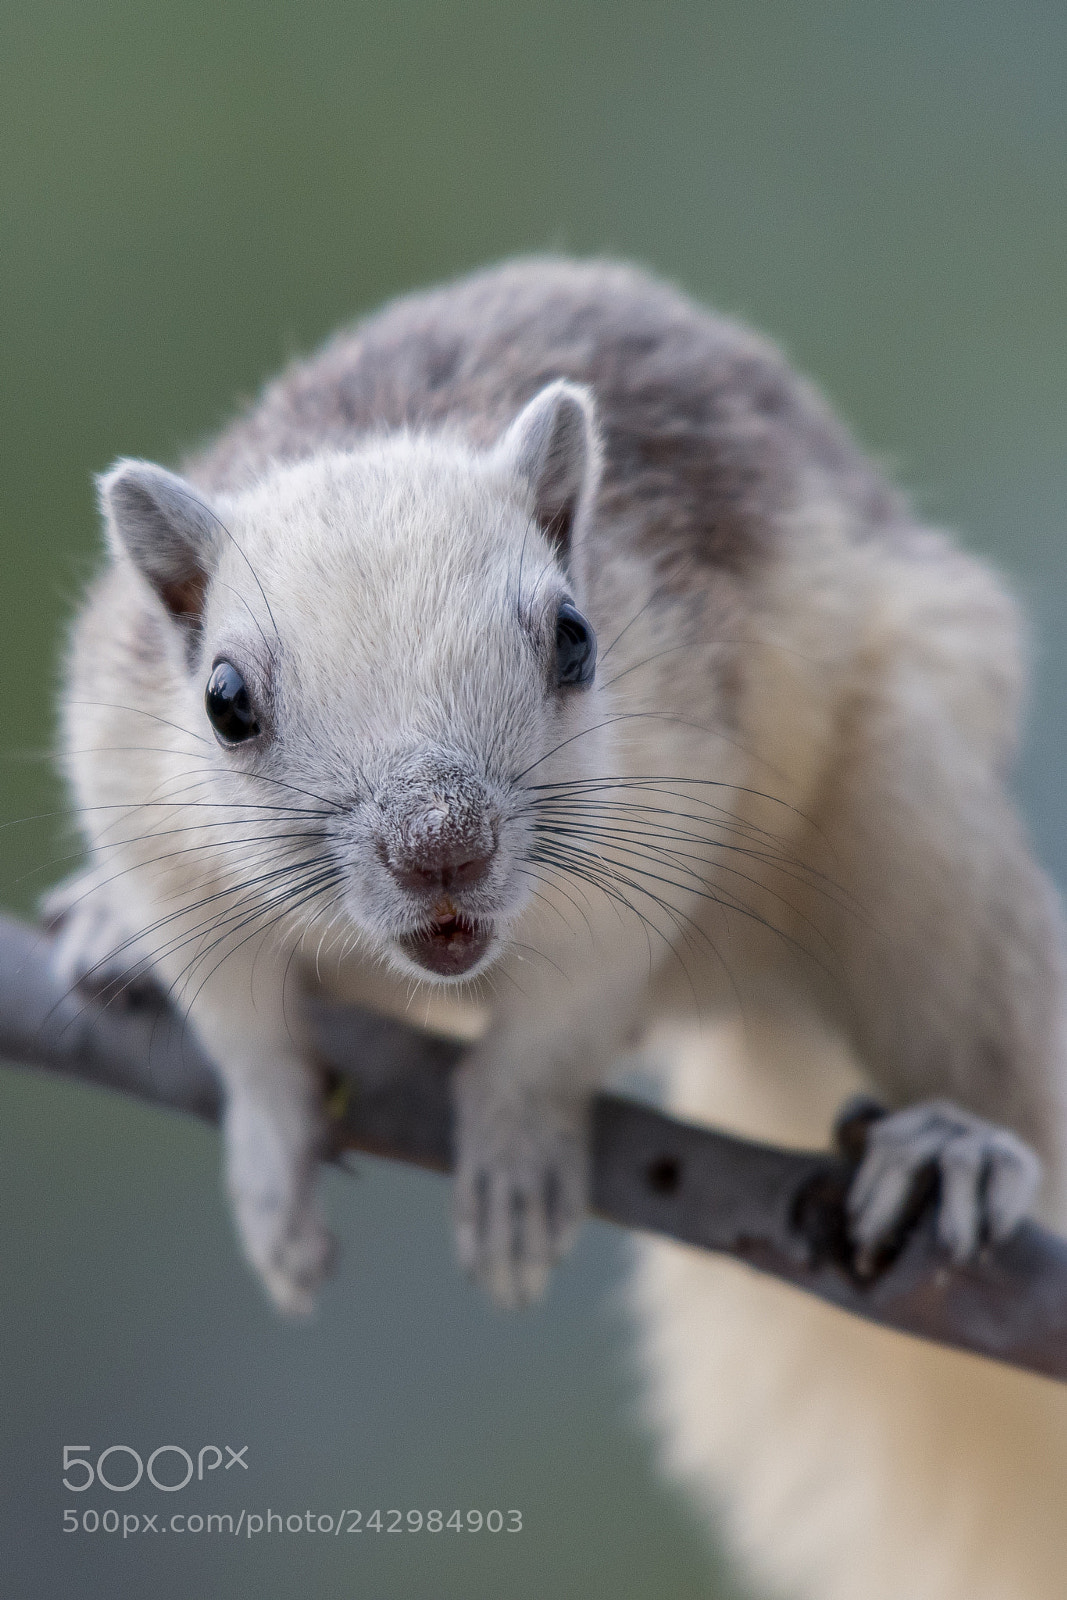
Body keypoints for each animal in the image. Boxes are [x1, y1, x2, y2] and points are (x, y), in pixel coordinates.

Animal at [49, 258, 1067, 1598]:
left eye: (577, 638)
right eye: (223, 700)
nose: (442, 846)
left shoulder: (657, 826)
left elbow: (558, 1024)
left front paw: (516, 1153)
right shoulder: (144, 812)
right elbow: (243, 1032)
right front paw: (270, 1157)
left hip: (913, 823)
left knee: (994, 1054)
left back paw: (958, 1143)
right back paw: (99, 934)